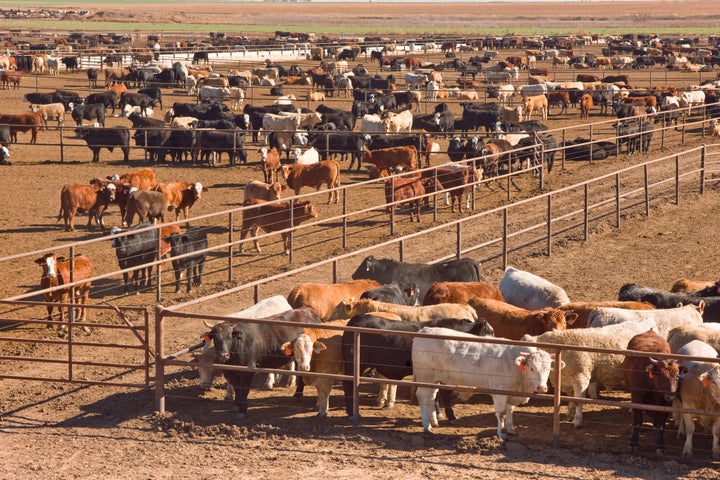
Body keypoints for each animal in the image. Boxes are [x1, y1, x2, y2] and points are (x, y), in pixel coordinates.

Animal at [340, 314, 492, 418]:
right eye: (487, 333)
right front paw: (448, 415)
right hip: (356, 365)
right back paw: (352, 412)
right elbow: (442, 393)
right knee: (348, 384)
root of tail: (355, 320)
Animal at [414, 328, 560, 436]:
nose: (542, 388)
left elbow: (510, 410)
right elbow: (501, 413)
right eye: (532, 368)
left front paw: (511, 429)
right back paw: (427, 426)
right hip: (424, 377)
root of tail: (424, 330)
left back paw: (433, 422)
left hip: (433, 380)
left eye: (548, 369)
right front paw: (500, 434)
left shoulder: (512, 393)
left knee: (431, 397)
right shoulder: (500, 393)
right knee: (422, 397)